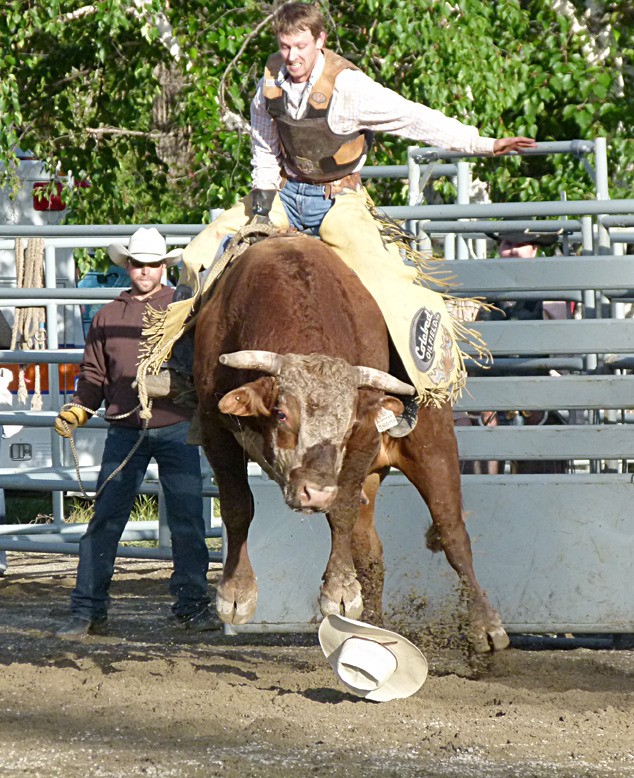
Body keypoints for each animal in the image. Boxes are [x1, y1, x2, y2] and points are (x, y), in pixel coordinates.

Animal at [194, 233, 508, 652]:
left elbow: (340, 511)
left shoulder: (364, 434)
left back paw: (485, 625)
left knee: (453, 532)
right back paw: (370, 630)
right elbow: (237, 508)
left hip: (434, 444)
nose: (316, 493)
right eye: (281, 414)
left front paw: (339, 591)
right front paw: (235, 594)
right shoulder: (214, 429)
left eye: (346, 427)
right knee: (368, 550)